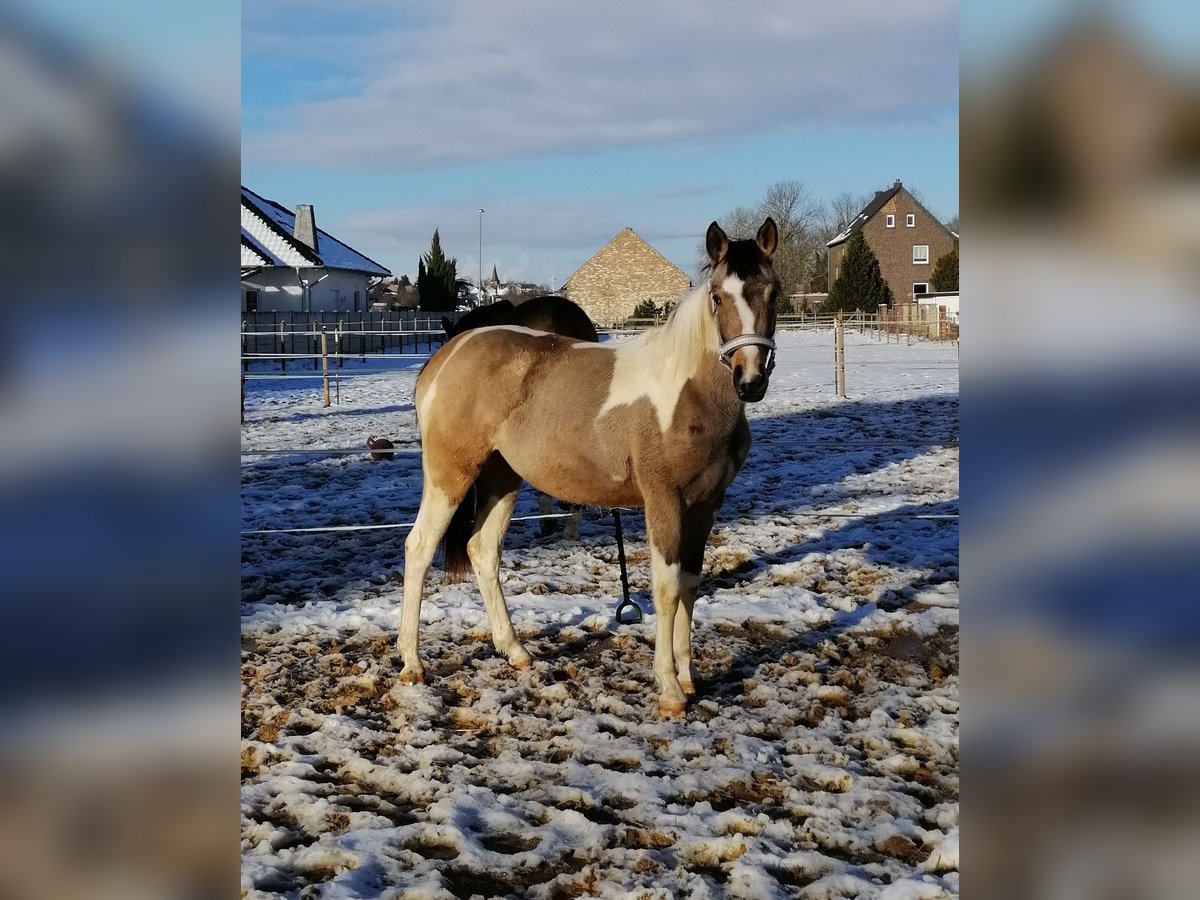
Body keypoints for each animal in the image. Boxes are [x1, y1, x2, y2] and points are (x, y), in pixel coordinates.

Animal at [398, 218, 782, 720]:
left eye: (773, 292)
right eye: (718, 296)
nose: (749, 380)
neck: (687, 395)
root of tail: (445, 358)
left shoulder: (706, 505)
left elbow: (690, 585)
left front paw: (689, 677)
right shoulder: (663, 501)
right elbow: (666, 588)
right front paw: (669, 691)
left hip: (503, 478)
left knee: (482, 550)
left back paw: (516, 651)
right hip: (450, 475)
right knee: (419, 548)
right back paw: (412, 664)